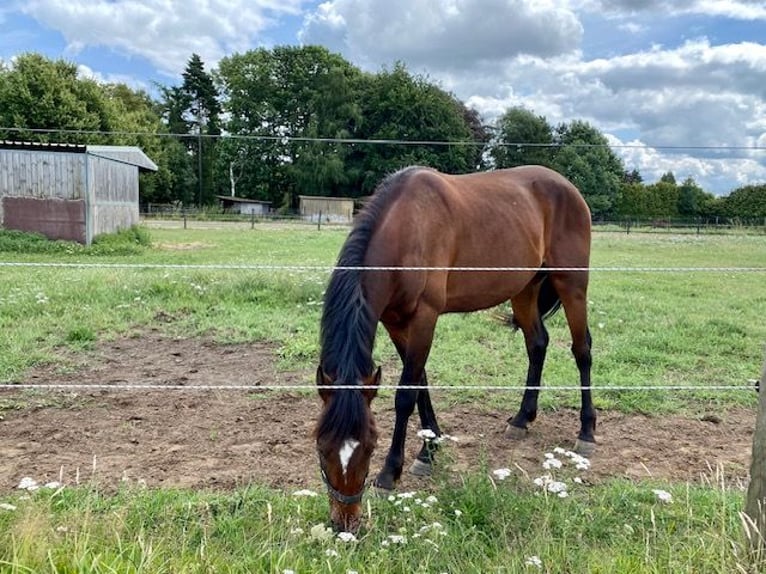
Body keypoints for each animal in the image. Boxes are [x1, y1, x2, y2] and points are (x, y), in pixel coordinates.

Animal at [316, 164, 596, 532]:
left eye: (369, 447)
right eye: (322, 449)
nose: (345, 523)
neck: (405, 228)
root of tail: (568, 187)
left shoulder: (425, 316)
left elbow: (405, 394)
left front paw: (392, 471)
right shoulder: (395, 322)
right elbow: (420, 384)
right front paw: (430, 447)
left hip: (572, 283)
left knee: (582, 351)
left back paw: (587, 432)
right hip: (524, 288)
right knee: (537, 344)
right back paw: (522, 419)